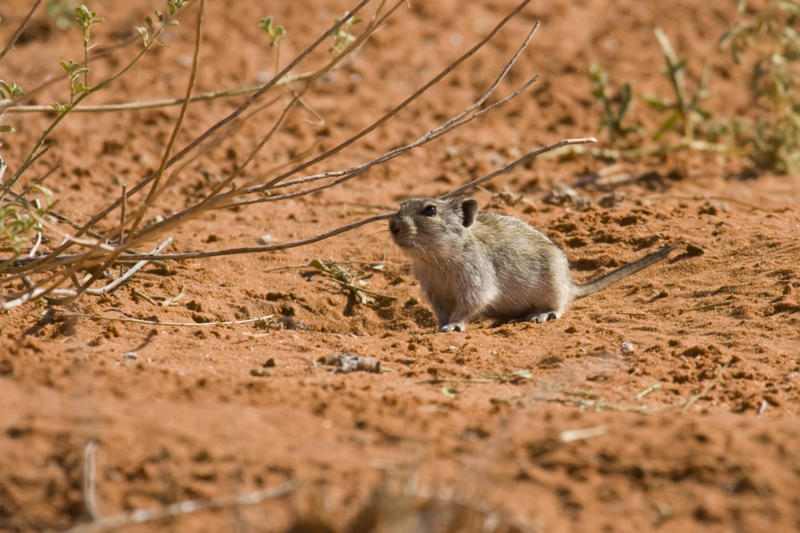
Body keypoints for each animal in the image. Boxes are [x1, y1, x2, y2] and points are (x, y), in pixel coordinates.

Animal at [389, 196, 673, 332]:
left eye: (430, 210)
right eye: (401, 206)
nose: (392, 226)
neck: (440, 259)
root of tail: (571, 285)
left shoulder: (476, 286)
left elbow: (467, 308)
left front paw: (453, 327)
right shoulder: (436, 294)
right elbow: (442, 314)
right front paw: (440, 326)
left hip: (553, 289)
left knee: (560, 306)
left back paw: (542, 315)